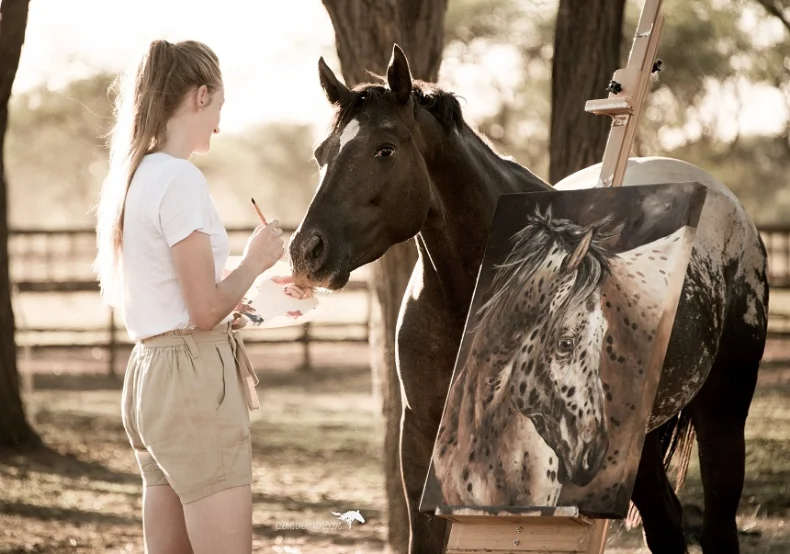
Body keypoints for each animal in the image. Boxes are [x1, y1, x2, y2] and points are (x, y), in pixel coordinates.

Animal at [288, 44, 772, 552]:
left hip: (721, 415)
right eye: (321, 154)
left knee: (716, 524)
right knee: (666, 521)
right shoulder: (420, 436)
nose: (306, 251)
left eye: (385, 149)